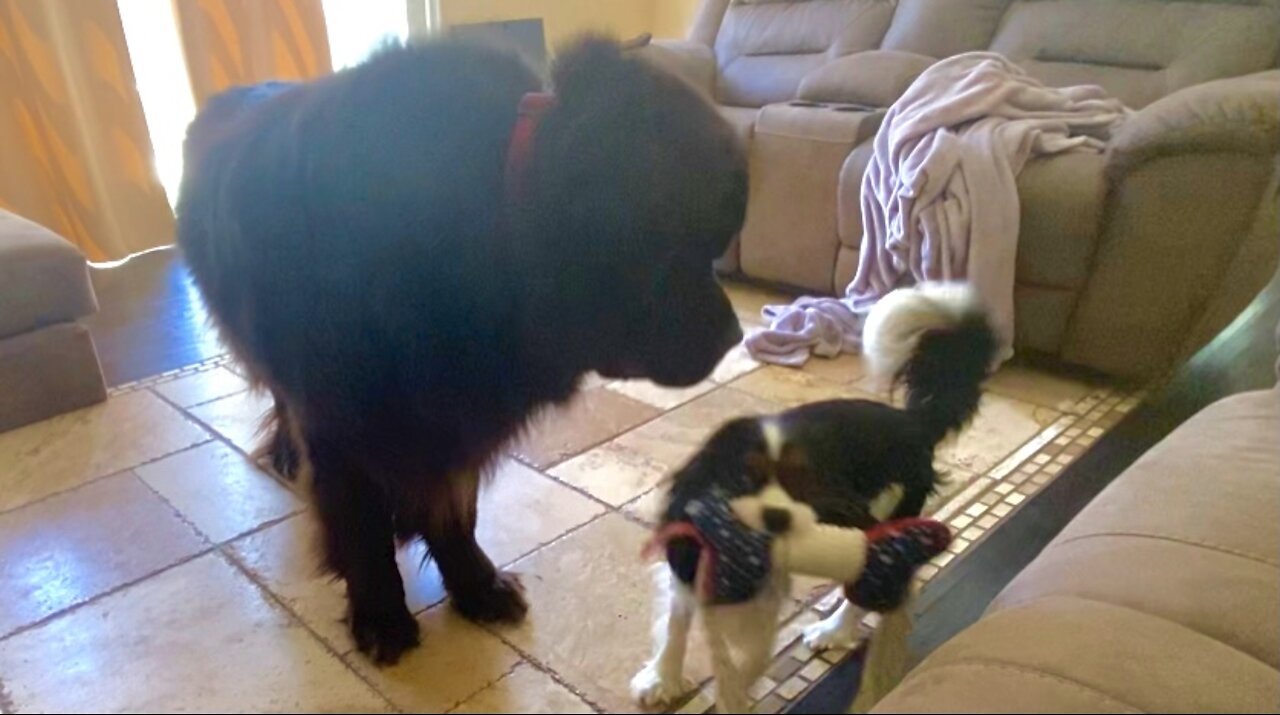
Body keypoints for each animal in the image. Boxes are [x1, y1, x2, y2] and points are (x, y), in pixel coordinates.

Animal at [175, 37, 747, 665]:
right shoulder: (342, 424)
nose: (734, 337)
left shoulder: (458, 413)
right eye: (675, 248)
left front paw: (476, 584)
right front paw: (381, 616)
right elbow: (362, 529)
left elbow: (455, 508)